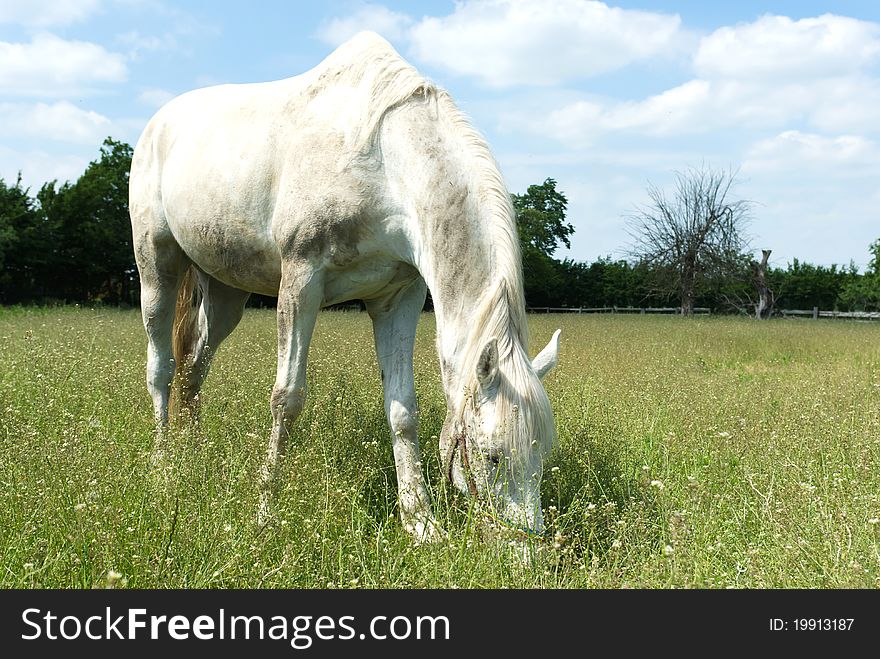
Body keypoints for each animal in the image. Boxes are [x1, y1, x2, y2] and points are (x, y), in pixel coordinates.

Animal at [128, 32, 560, 540]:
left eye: (542, 454)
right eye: (492, 456)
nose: (522, 551)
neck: (386, 165)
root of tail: (159, 123)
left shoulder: (398, 299)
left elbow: (403, 409)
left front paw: (420, 521)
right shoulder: (301, 282)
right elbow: (287, 399)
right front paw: (265, 512)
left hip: (225, 293)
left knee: (194, 369)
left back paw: (192, 457)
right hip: (157, 266)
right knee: (162, 368)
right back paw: (163, 467)